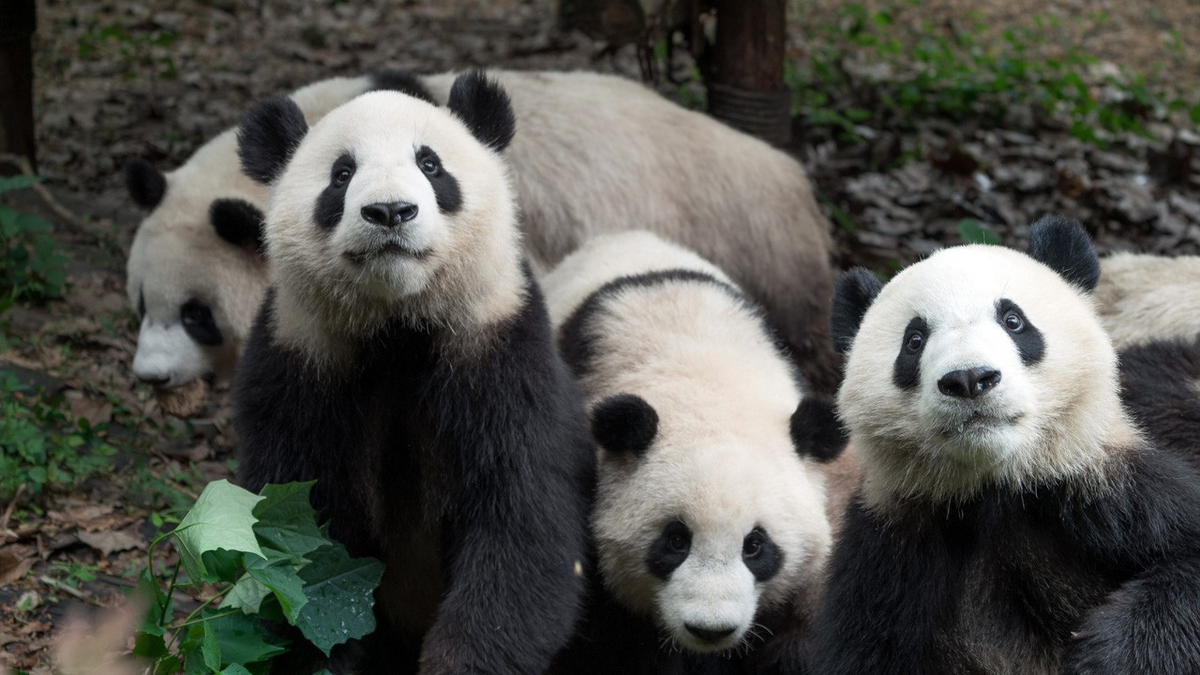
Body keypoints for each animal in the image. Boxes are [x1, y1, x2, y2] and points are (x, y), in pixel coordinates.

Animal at [230, 74, 595, 672]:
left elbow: (521, 524)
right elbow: (299, 545)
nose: (390, 212)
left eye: (430, 165)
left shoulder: (500, 352)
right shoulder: (301, 362)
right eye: (341, 175)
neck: (397, 325)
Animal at [792, 214, 1200, 672]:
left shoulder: (1107, 492)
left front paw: (1107, 654)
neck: (991, 486)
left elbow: (1184, 563)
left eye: (1013, 320)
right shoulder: (889, 554)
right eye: (914, 340)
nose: (969, 379)